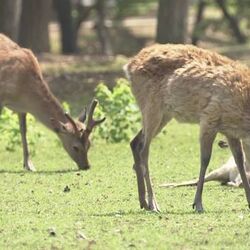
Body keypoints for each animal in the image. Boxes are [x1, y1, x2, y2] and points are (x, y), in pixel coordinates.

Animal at [0, 33, 104, 172]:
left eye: (89, 144)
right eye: (75, 147)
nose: (86, 166)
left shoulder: (22, 109)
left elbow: (23, 131)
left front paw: (29, 165)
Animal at [123, 43, 250, 213]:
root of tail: (129, 66)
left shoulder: (231, 131)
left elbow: (240, 161)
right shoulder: (209, 117)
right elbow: (205, 159)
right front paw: (198, 203)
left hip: (164, 114)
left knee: (135, 142)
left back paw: (144, 202)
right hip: (151, 106)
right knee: (144, 150)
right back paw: (154, 203)